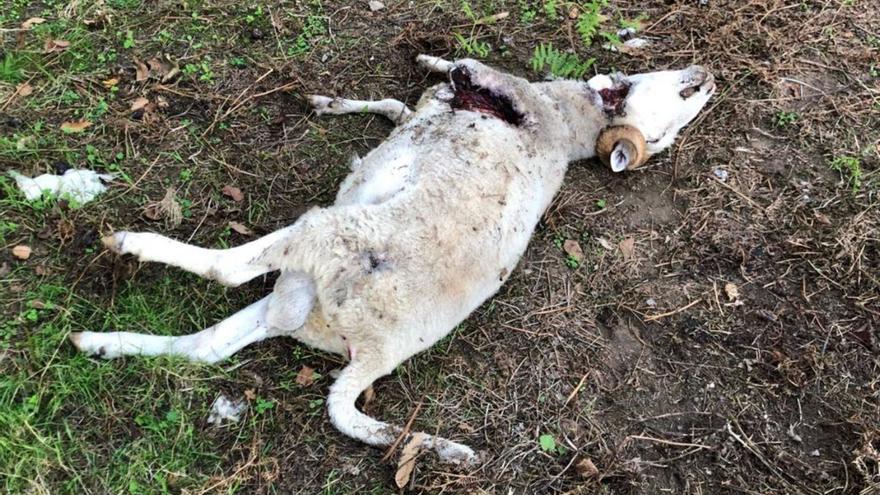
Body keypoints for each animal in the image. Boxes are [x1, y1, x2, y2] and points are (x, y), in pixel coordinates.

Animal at [69, 54, 716, 464]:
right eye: (686, 95)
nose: (706, 76)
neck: (571, 122)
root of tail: (373, 354)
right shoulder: (428, 109)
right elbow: (394, 104)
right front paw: (340, 98)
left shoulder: (502, 89)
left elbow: (465, 69)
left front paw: (440, 63)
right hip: (296, 305)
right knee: (203, 350)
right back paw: (100, 343)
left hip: (326, 236)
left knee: (227, 273)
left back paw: (128, 245)